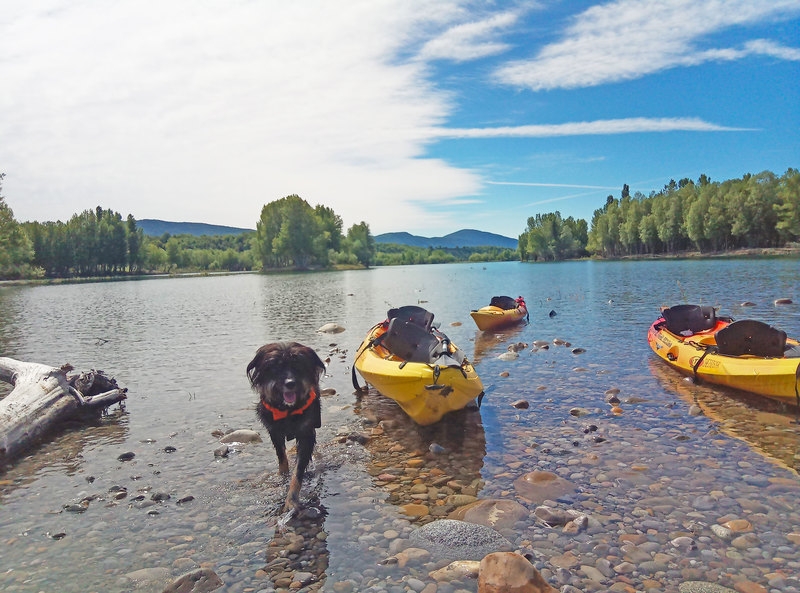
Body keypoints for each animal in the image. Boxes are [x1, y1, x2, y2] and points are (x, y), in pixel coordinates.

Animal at [248, 342, 326, 508]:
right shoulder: (274, 431)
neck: (287, 410)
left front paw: (291, 499)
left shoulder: (306, 432)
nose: (290, 383)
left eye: (298, 366)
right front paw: (282, 477)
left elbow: (298, 471)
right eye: (276, 367)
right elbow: (282, 458)